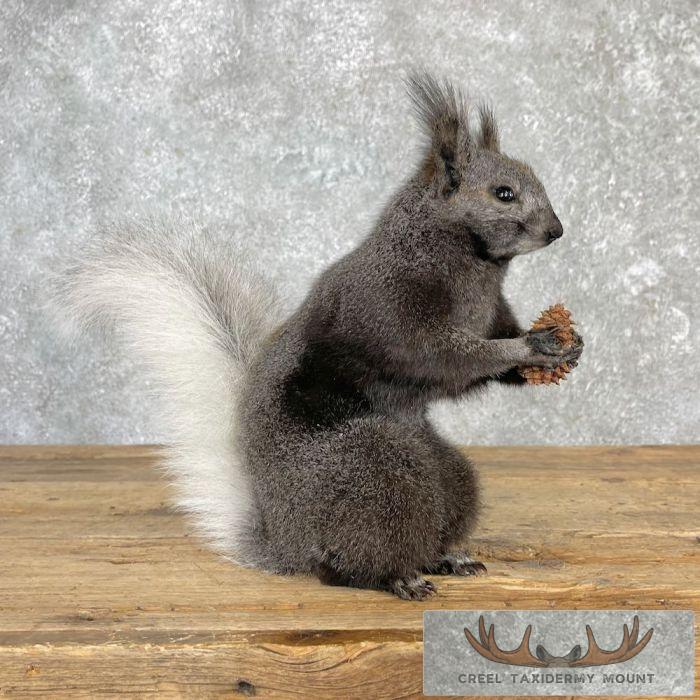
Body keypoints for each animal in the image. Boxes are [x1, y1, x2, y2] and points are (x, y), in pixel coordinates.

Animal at [55, 74, 583, 600]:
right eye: (503, 193)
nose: (556, 230)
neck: (474, 265)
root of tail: (287, 542)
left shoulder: (491, 312)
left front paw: (566, 346)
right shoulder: (387, 310)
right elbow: (440, 358)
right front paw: (531, 346)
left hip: (444, 475)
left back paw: (447, 556)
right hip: (373, 475)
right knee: (346, 565)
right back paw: (400, 576)